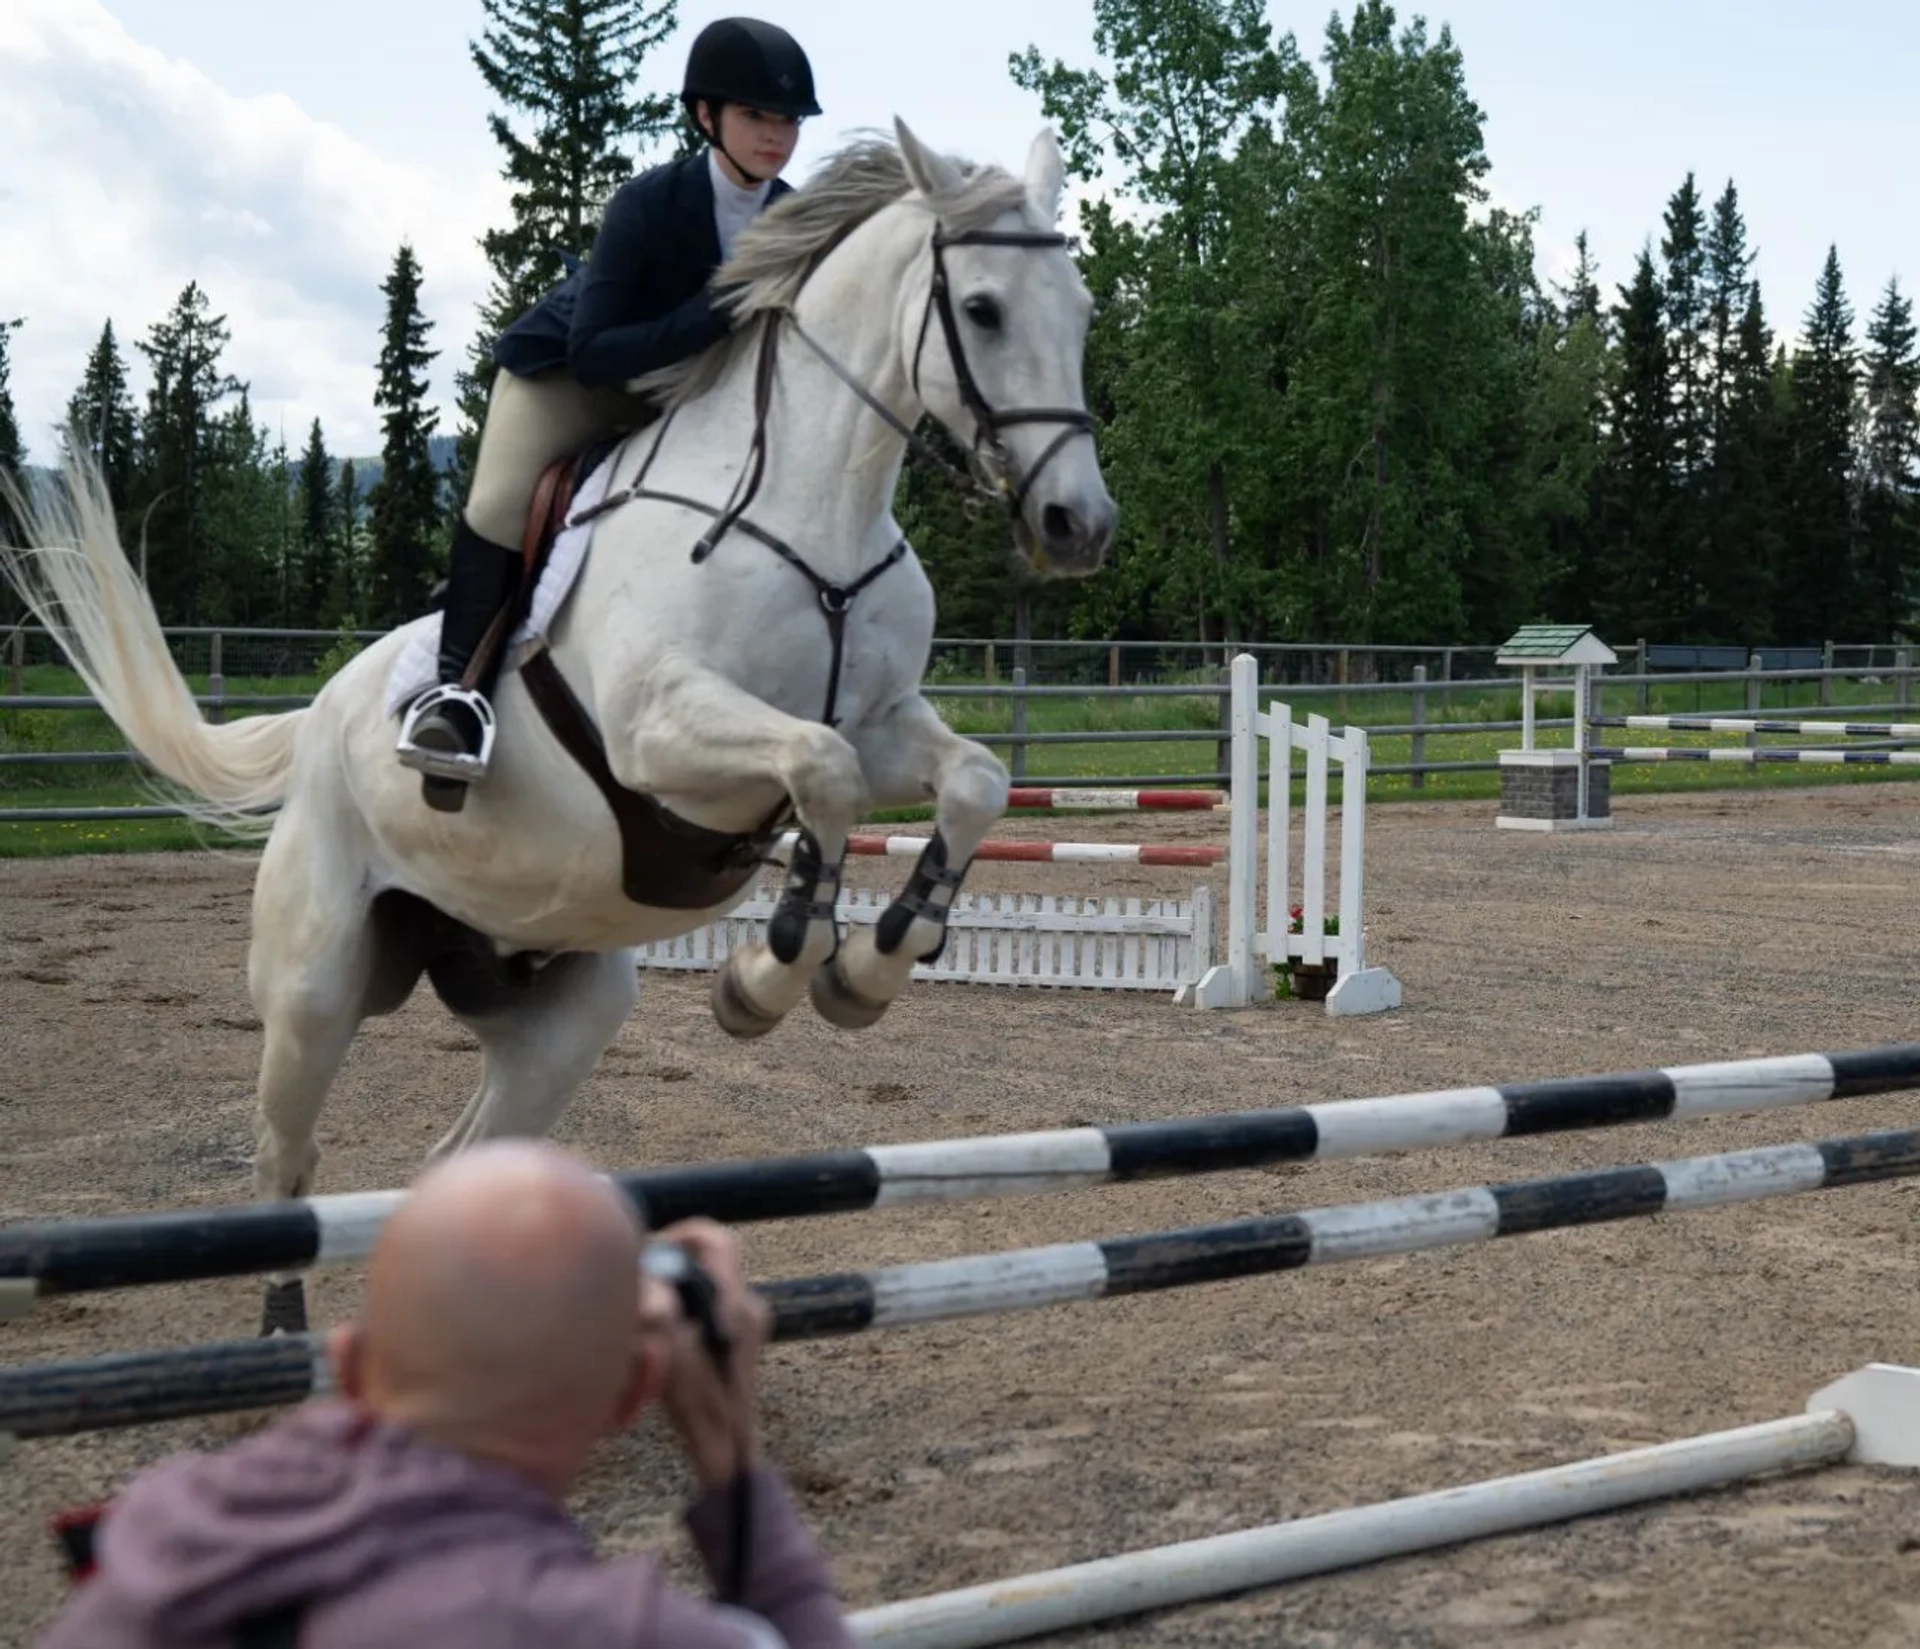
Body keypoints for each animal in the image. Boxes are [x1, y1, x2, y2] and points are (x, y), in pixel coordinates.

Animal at [3, 119, 1113, 1328]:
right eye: (984, 309)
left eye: (1082, 309)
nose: (1080, 523)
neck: (807, 516)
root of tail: (322, 718)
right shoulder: (663, 735)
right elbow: (822, 774)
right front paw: (767, 976)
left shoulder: (884, 722)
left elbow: (971, 781)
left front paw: (870, 965)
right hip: (313, 984)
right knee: (285, 1162)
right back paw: (286, 1335)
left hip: (557, 1013)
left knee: (458, 1157)